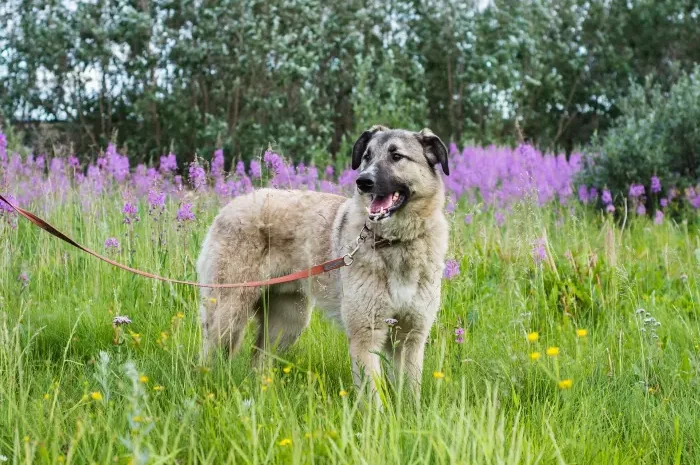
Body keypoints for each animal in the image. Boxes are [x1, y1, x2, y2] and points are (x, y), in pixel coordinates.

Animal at [197, 125, 448, 400]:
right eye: (367, 157)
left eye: (396, 156)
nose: (363, 181)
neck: (395, 243)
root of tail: (230, 206)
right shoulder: (365, 337)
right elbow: (373, 398)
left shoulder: (410, 338)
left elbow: (410, 395)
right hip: (229, 315)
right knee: (209, 358)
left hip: (287, 323)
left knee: (258, 359)